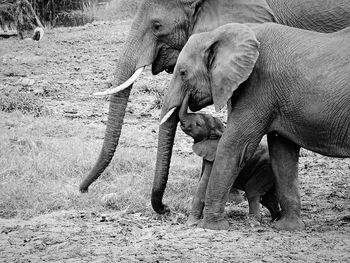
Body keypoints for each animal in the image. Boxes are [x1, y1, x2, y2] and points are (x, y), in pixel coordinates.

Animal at [179, 94, 280, 225]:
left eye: (198, 124)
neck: (220, 129)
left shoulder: (214, 155)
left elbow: (203, 185)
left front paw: (192, 223)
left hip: (266, 169)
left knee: (252, 191)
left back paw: (255, 222)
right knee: (268, 197)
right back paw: (275, 219)